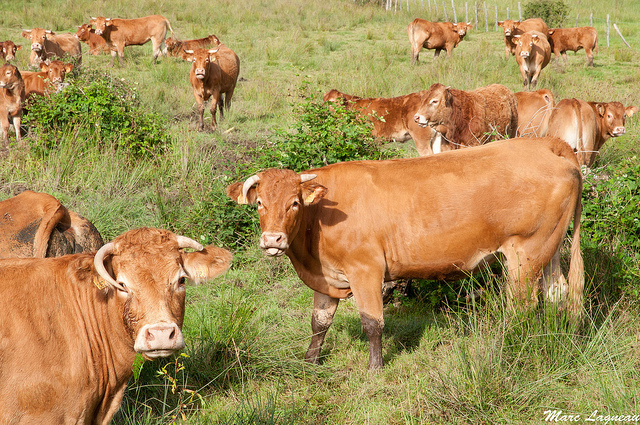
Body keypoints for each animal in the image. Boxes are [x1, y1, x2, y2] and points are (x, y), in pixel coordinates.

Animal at [227, 137, 584, 370]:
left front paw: (374, 369)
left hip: (526, 252)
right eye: (259, 203)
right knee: (557, 293)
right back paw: (557, 337)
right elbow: (319, 323)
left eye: (294, 204)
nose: (272, 239)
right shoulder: (327, 277)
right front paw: (309, 363)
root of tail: (544, 143)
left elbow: (372, 322)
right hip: (548, 248)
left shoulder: (366, 269)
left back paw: (509, 349)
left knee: (522, 306)